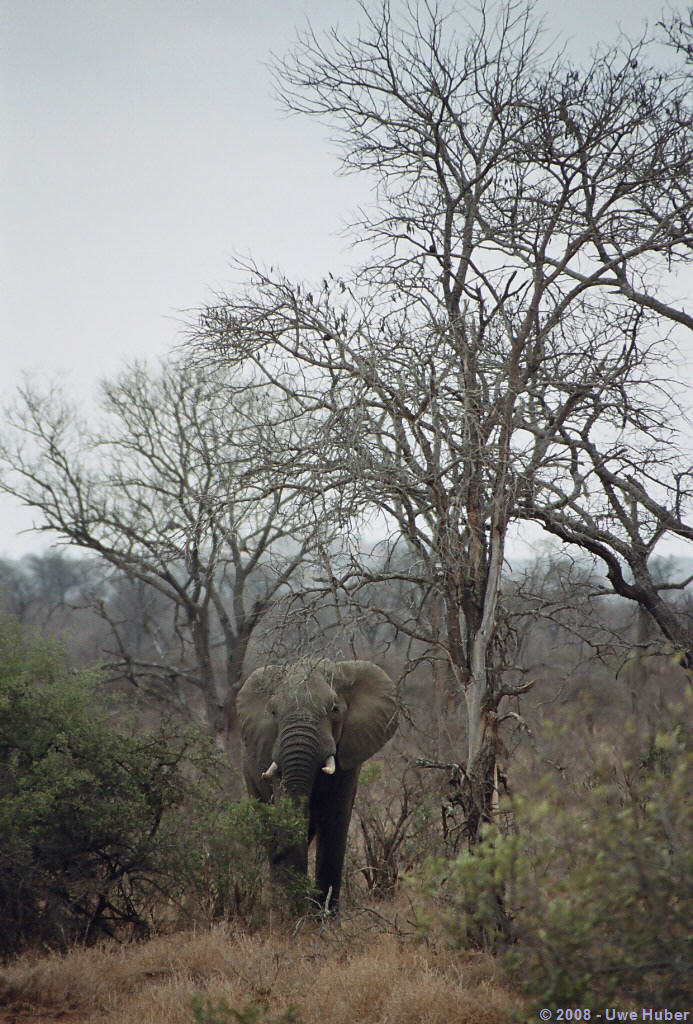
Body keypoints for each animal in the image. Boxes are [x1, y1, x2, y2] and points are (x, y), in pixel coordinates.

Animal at [237, 657, 398, 911]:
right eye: (273, 712)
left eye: (334, 709)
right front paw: (295, 911)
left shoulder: (349, 757)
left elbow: (335, 822)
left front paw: (325, 914)